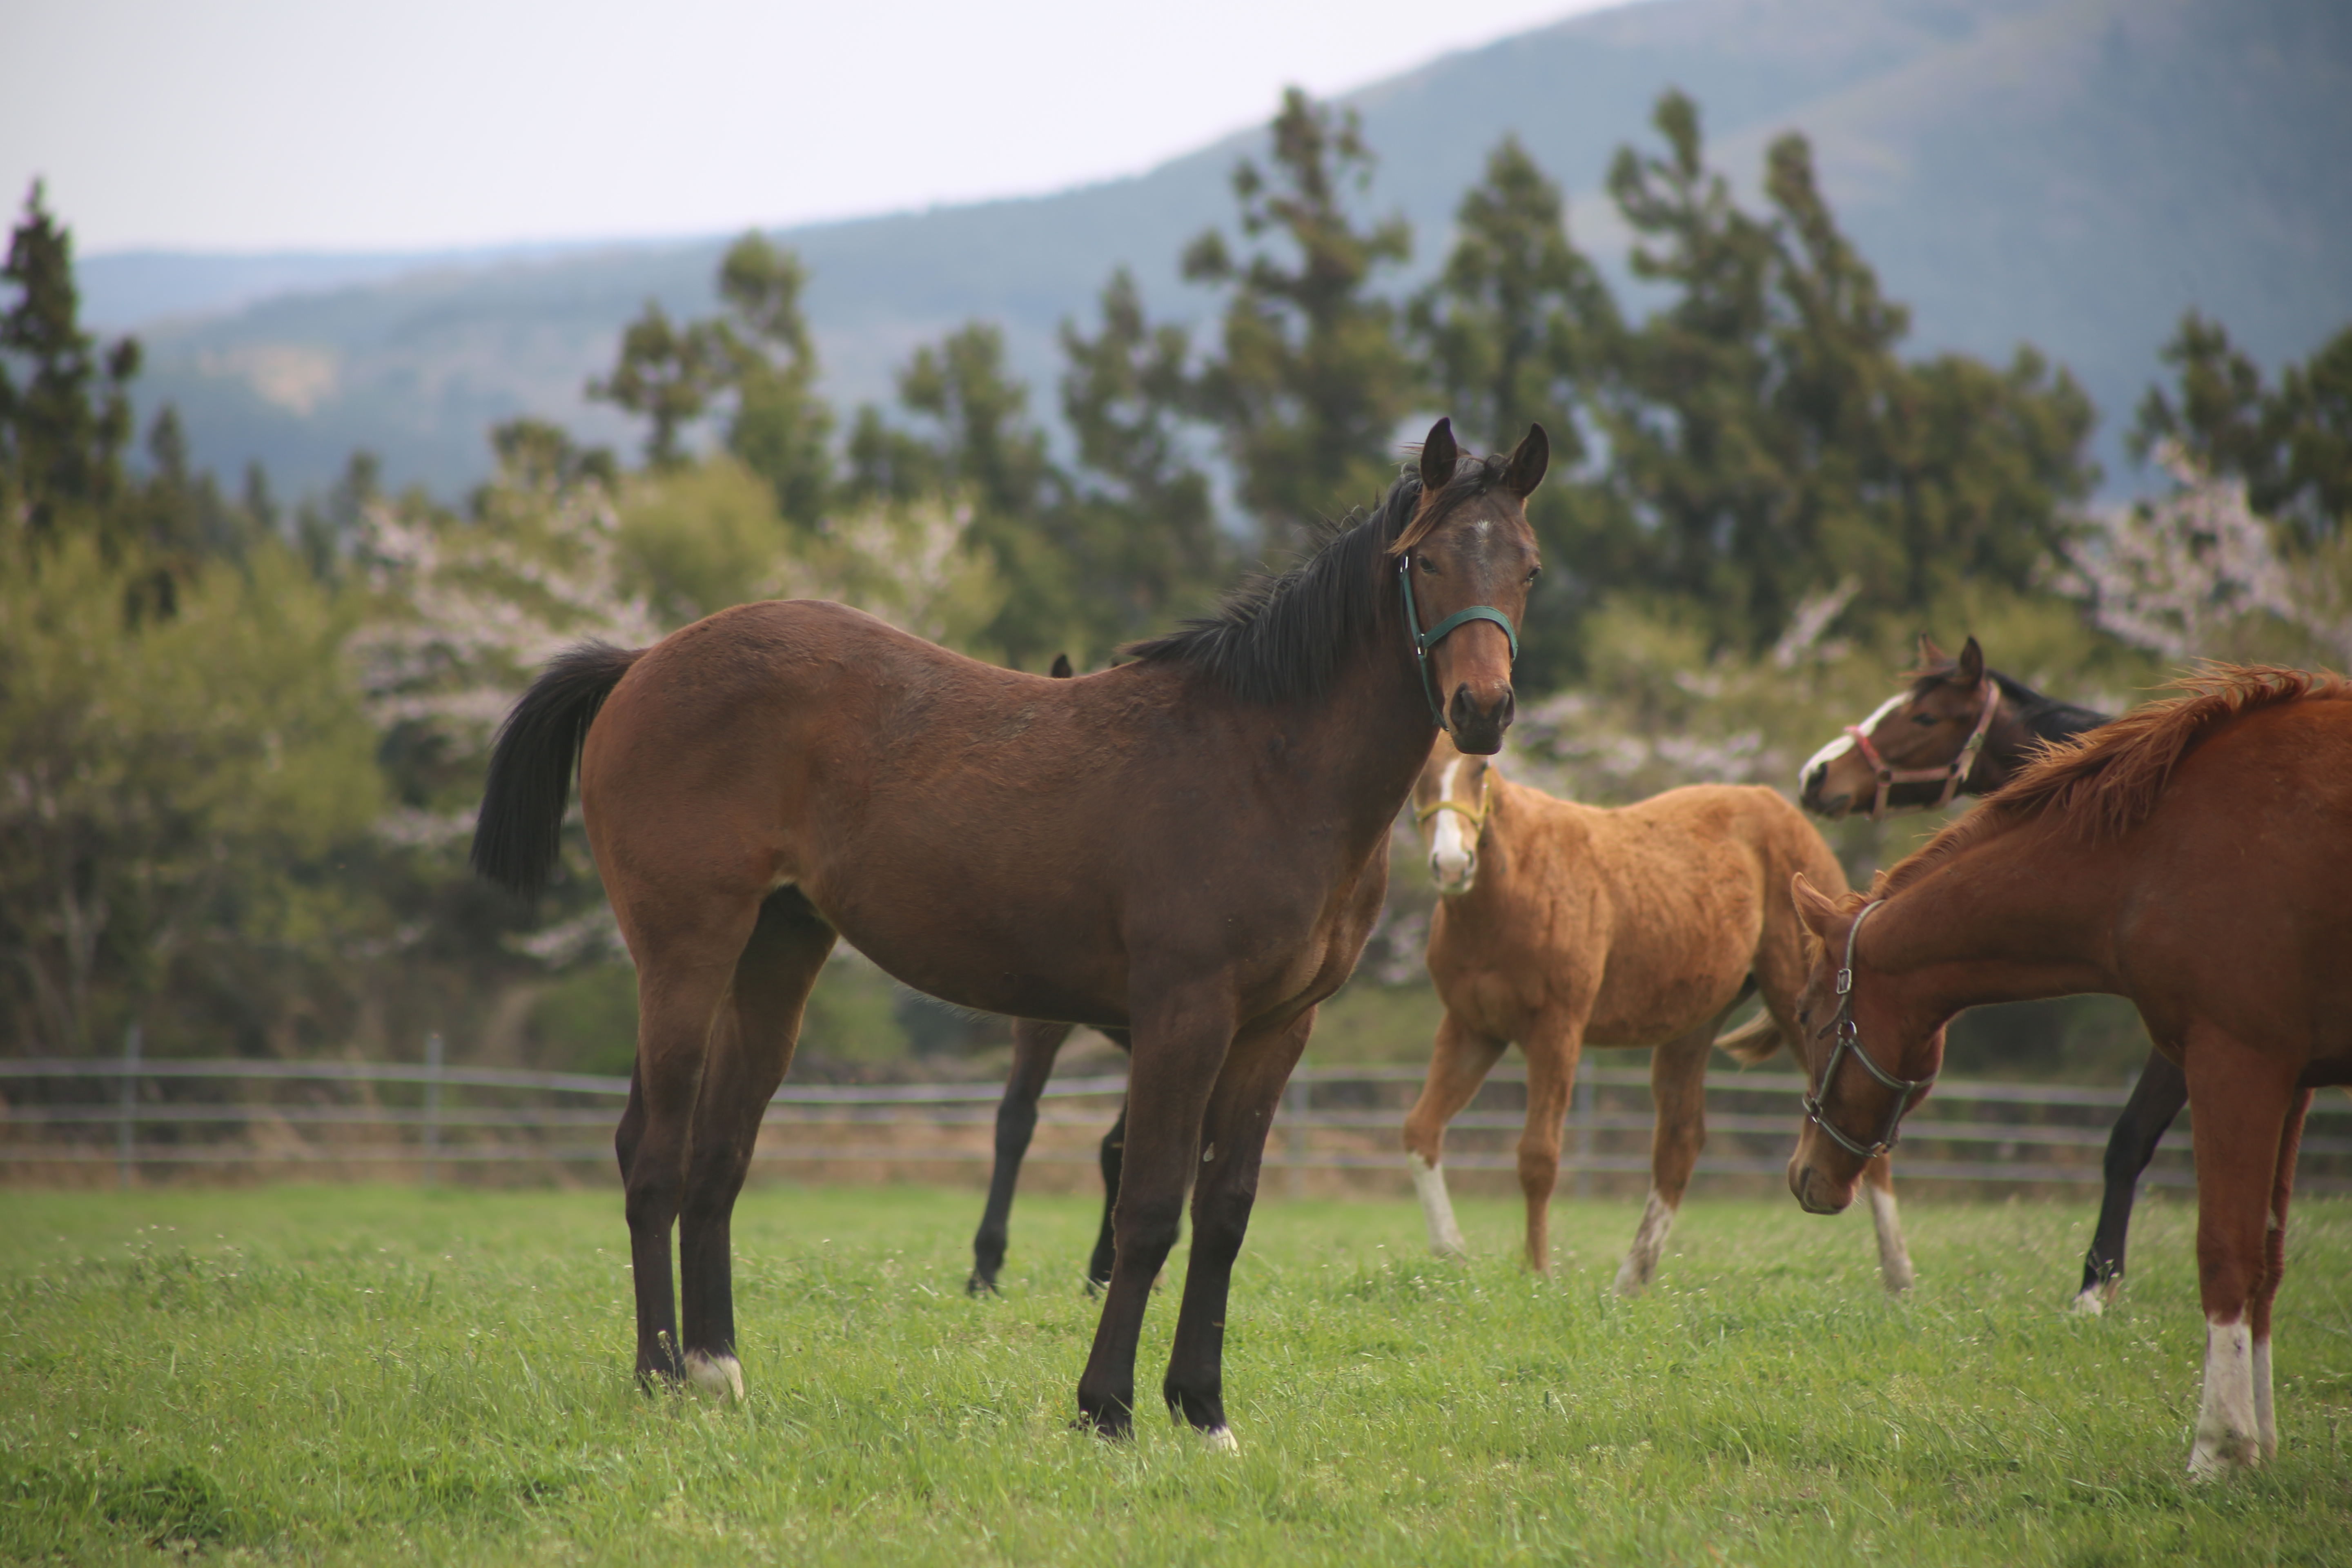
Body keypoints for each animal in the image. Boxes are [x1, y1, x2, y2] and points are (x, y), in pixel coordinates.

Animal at [470, 421, 1552, 1448]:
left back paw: (716, 1370)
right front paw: (1106, 1409)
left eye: (1529, 567)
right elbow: (1147, 1207)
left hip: (777, 953)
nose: (1482, 709)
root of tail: (641, 663)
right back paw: (657, 1373)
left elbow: (1225, 1214)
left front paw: (1203, 1410)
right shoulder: (1184, 1014)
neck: (1266, 762)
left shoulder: (1276, 1029)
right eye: (1425, 560)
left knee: (719, 1156)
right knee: (652, 1152)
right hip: (685, 953)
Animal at [1392, 738, 1910, 1297]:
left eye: (1481, 770)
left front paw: (1537, 1272)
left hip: (1797, 997)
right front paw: (1451, 1256)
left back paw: (1899, 1278)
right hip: (1694, 1023)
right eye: (1419, 775)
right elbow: (1421, 1130)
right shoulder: (1472, 1029)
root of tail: (1783, 811)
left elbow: (1538, 1157)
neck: (1515, 883)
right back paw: (1631, 1281)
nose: (1451, 864)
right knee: (1680, 1140)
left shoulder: (1556, 1030)